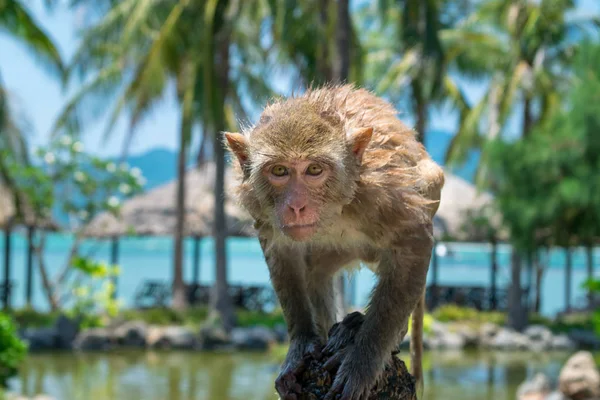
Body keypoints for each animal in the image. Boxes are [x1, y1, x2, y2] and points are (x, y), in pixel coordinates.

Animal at [225, 85, 446, 400]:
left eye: (314, 170)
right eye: (279, 171)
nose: (296, 206)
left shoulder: (381, 192)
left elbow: (414, 241)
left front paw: (362, 362)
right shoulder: (258, 204)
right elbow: (283, 253)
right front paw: (301, 344)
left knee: (428, 178)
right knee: (317, 271)